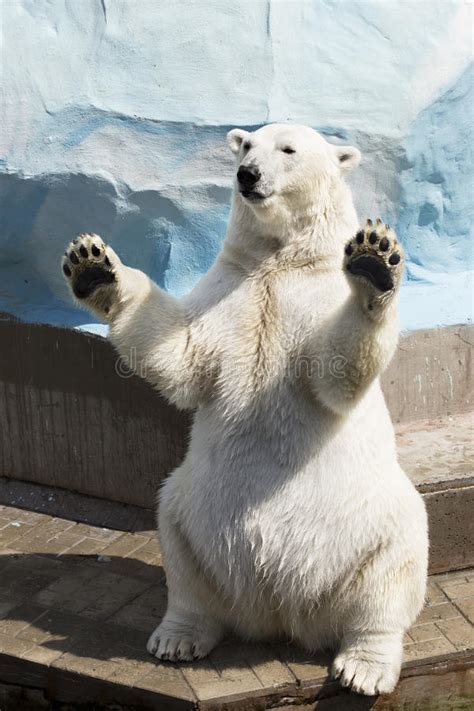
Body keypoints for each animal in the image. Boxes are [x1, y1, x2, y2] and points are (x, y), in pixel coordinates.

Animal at [62, 123, 428, 697]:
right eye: (247, 145)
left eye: (289, 149)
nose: (247, 175)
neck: (280, 260)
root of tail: (283, 613)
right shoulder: (231, 288)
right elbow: (184, 357)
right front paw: (94, 267)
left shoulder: (310, 295)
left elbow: (334, 372)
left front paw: (373, 261)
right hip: (193, 510)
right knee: (181, 556)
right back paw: (178, 637)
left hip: (374, 524)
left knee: (389, 578)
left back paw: (363, 666)